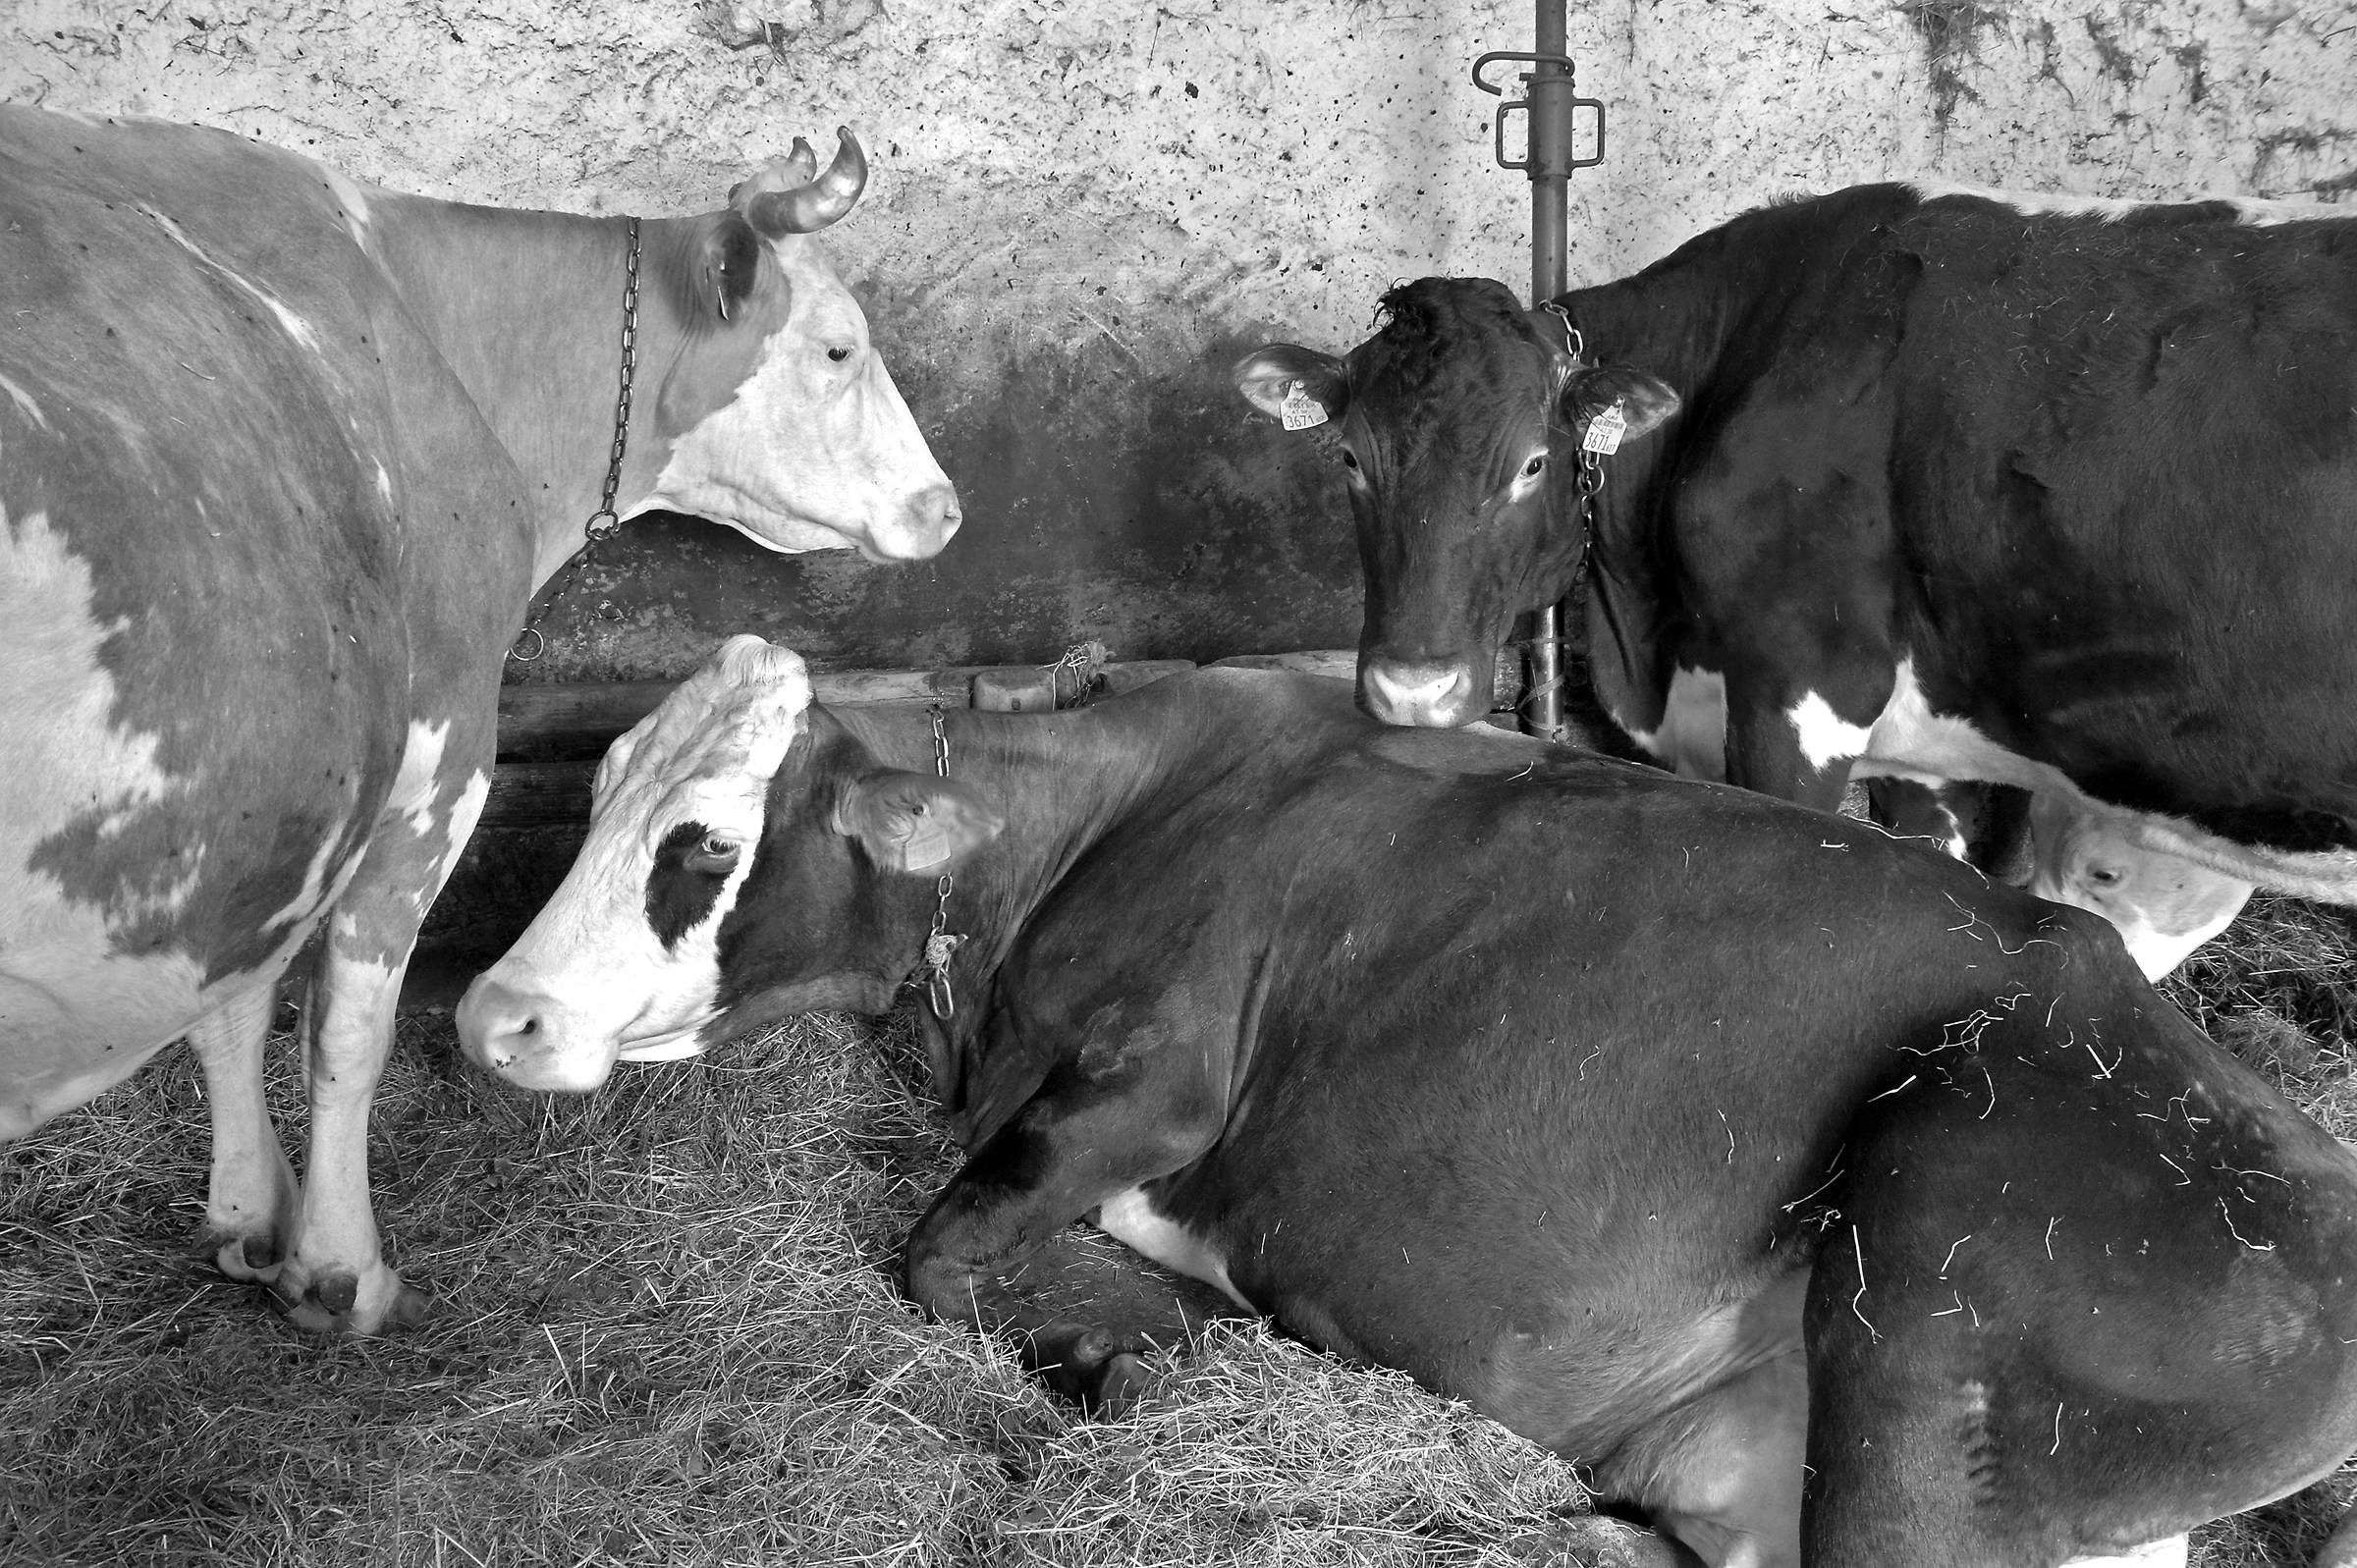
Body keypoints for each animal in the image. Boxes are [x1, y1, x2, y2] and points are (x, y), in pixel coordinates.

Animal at [0, 107, 959, 1333]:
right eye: (839, 347)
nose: (947, 506)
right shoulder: (438, 757)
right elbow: (345, 1029)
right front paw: (339, 1270)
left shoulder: (266, 816)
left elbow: (235, 1002)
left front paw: (246, 1219)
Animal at [459, 636, 2357, 1568]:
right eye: (594, 785)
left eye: (702, 843)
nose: (491, 1013)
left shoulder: (1156, 1087)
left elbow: (934, 1253)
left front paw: (1137, 1337)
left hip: (1941, 1261)